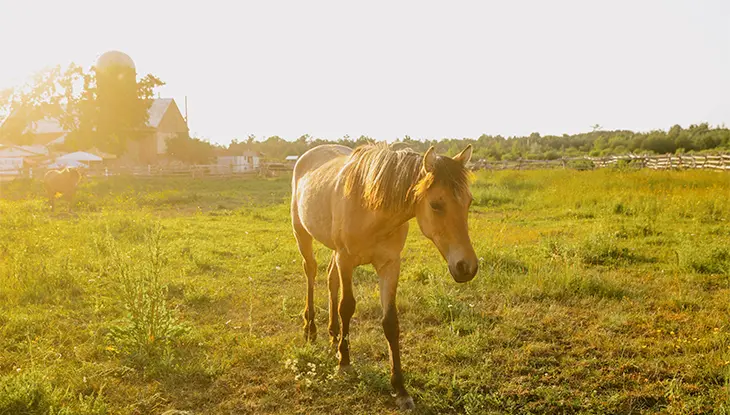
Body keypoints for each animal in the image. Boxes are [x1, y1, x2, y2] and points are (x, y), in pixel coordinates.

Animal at [291, 143, 478, 410]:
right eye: (435, 205)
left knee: (330, 280)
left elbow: (390, 322)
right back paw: (311, 329)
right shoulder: (346, 259)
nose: (467, 267)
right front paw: (344, 363)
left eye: (469, 202)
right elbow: (346, 307)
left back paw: (334, 334)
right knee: (311, 272)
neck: (370, 208)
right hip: (302, 234)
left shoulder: (389, 265)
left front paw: (400, 389)